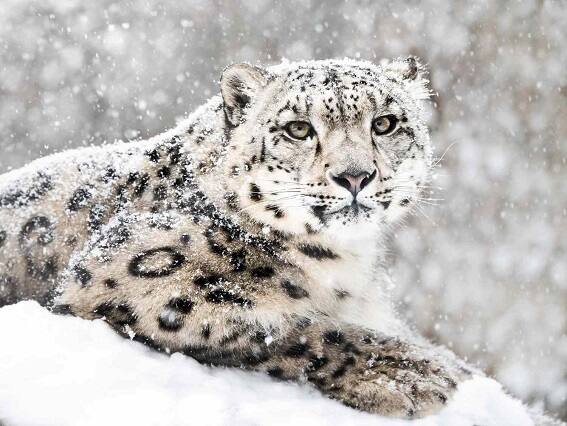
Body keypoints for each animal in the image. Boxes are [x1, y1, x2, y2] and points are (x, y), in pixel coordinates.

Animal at [0, 58, 472, 418]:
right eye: (298, 128)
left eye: (385, 123)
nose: (354, 175)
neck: (343, 262)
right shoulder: (124, 272)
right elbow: (277, 326)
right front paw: (406, 373)